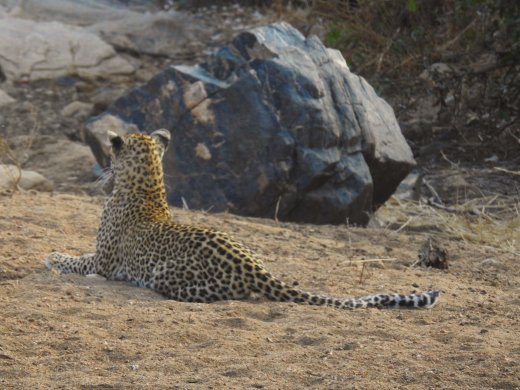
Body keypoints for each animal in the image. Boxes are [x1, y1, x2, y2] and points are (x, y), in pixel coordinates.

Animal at [44, 129, 440, 310]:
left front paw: (52, 256)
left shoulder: (104, 261)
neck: (148, 185)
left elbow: (76, 260)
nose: (104, 171)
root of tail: (253, 267)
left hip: (165, 275)